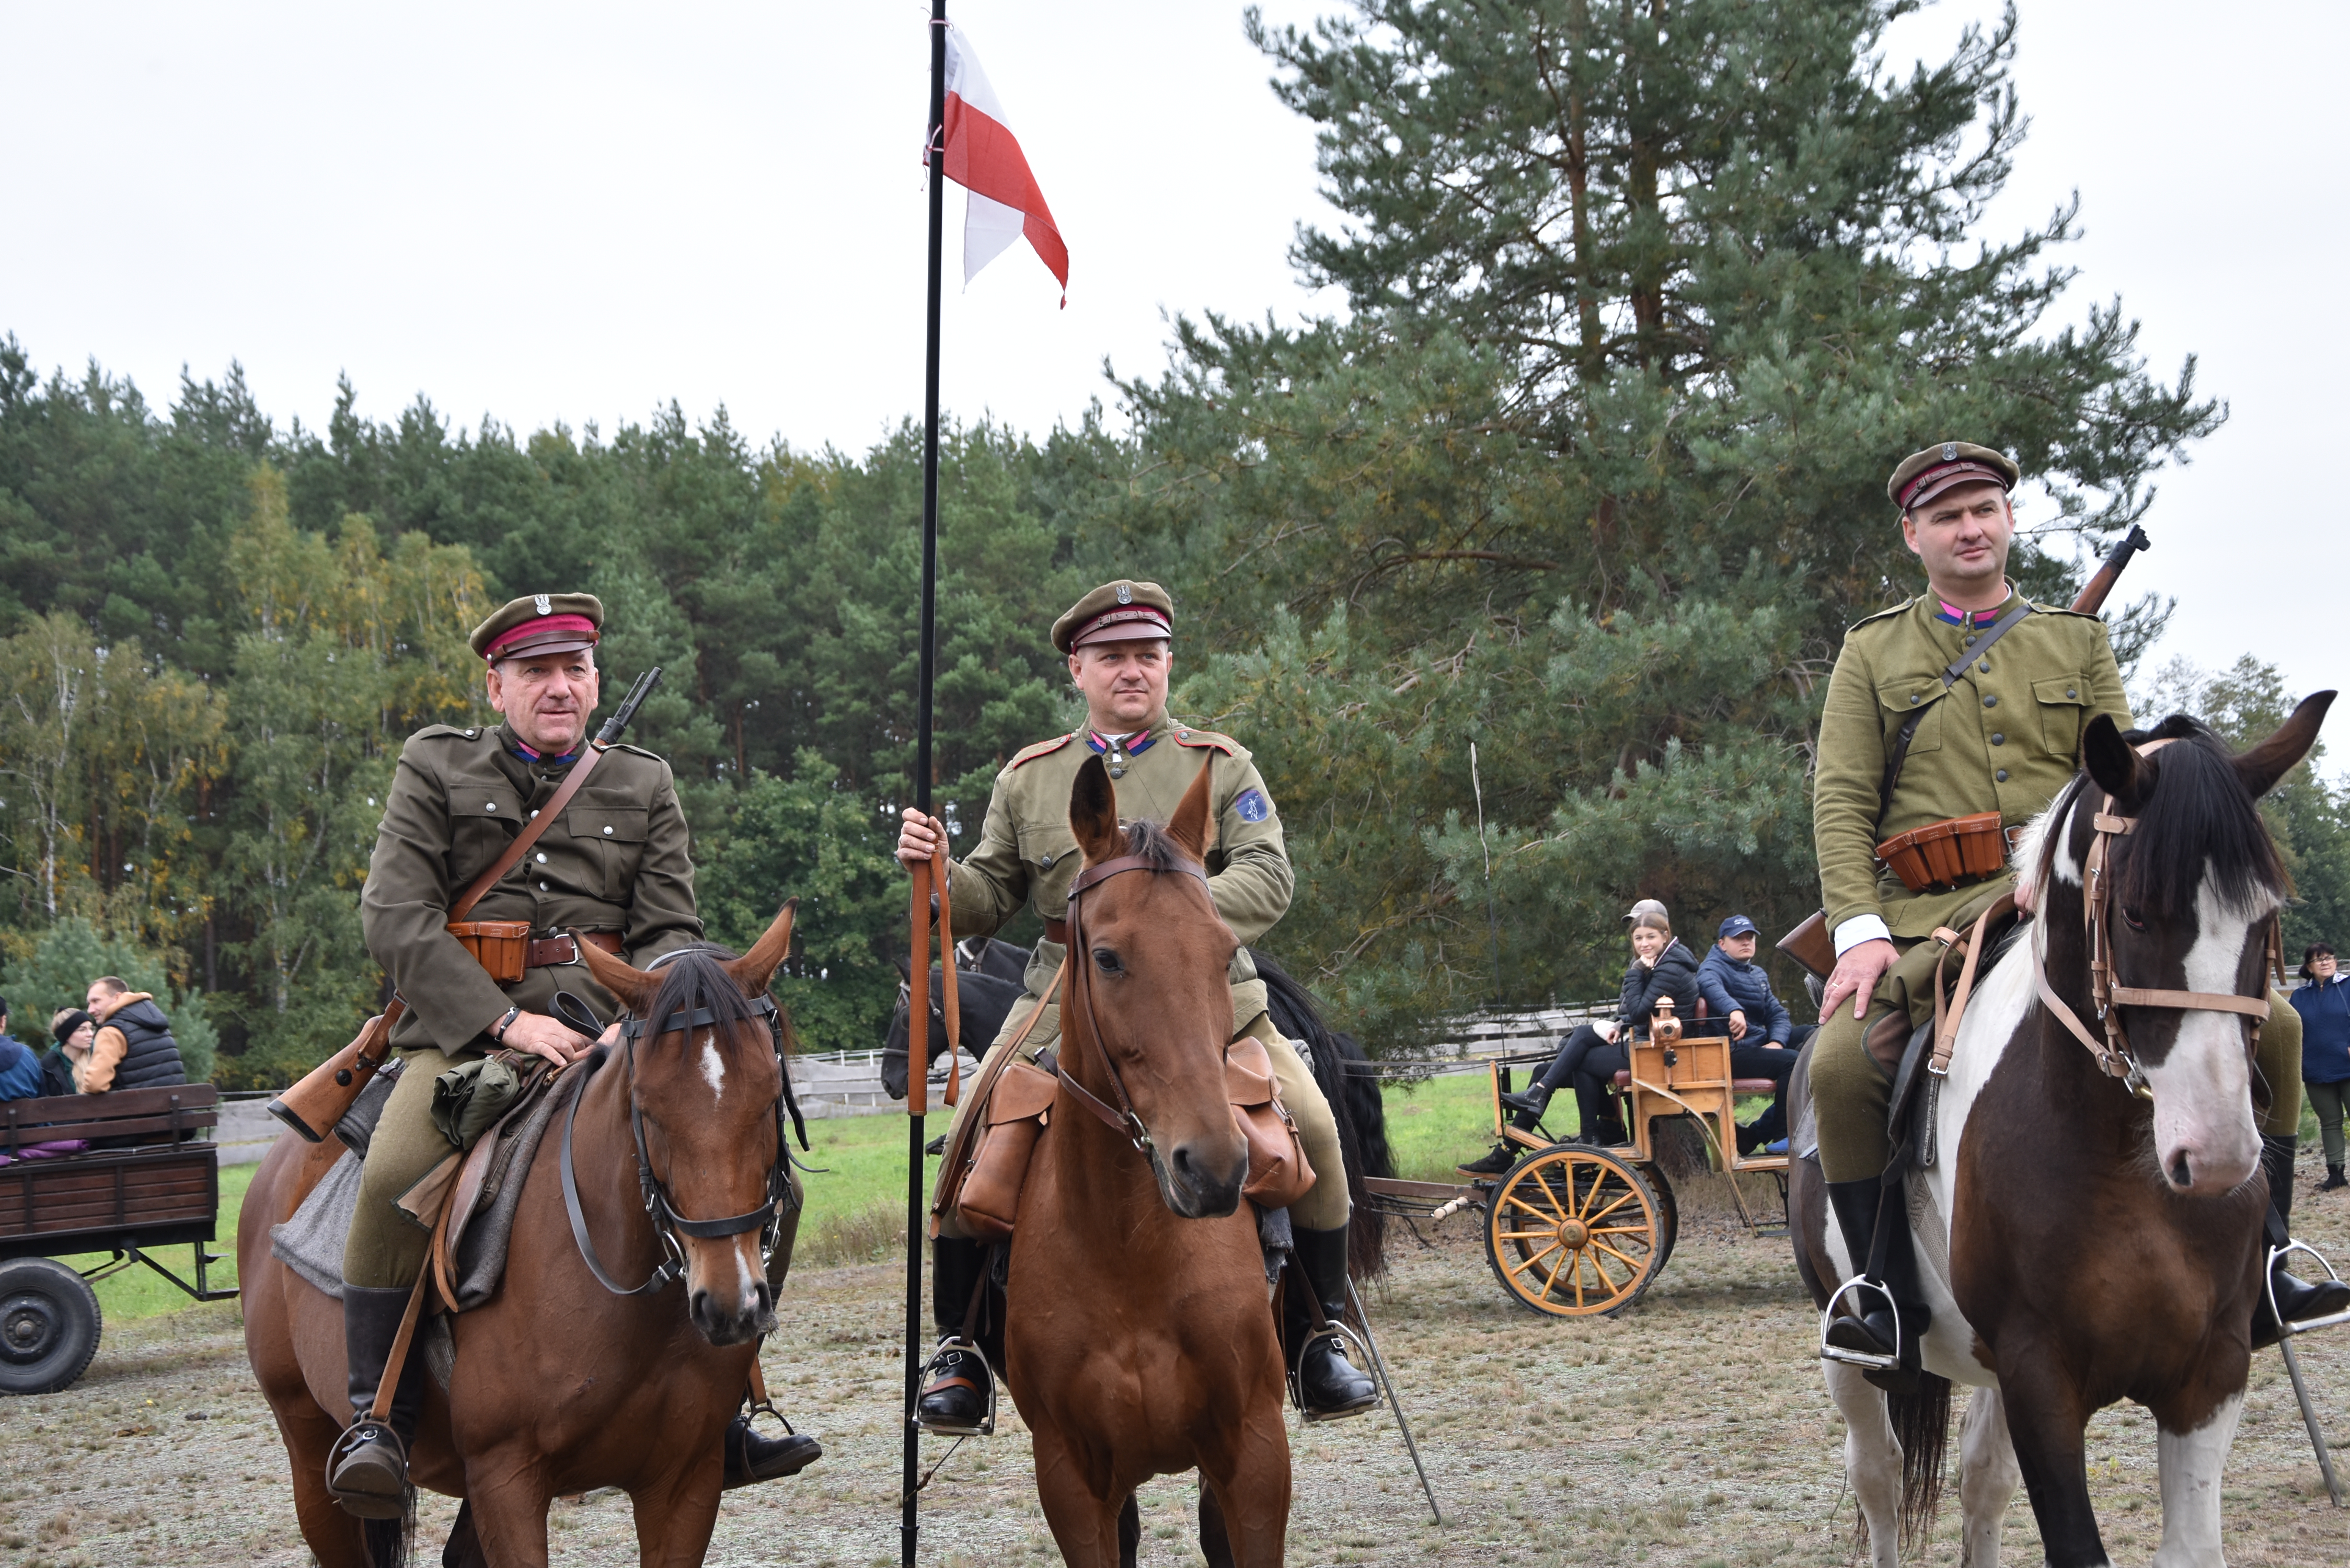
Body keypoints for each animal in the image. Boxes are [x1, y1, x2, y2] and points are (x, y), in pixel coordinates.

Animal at [242, 903, 803, 1561]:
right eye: (645, 1106)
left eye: (769, 1095)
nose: (729, 1306)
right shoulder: (506, 1480)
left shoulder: (685, 1483)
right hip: (311, 1458)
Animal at [1795, 700, 2331, 1568]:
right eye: (2136, 911)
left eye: (2267, 915)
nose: (2217, 1154)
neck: (2121, 1153)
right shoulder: (2039, 1378)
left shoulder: (2209, 1372)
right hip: (1851, 1353)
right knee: (1877, 1477)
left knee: (1980, 1482)